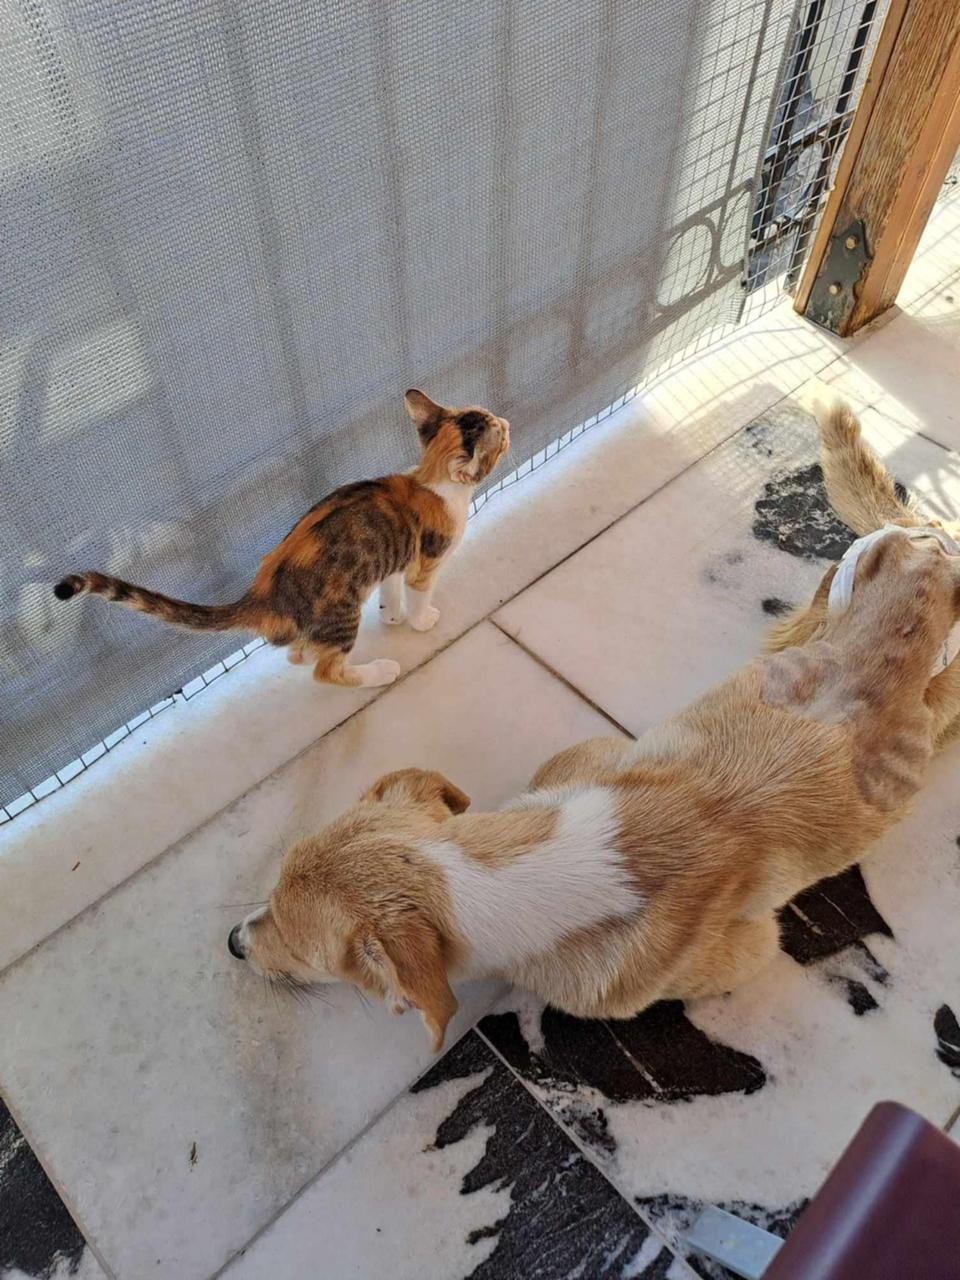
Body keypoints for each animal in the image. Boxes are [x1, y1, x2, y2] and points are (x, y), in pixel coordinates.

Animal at [54, 390, 509, 688]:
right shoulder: (427, 559)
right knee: (325, 672)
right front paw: (419, 620)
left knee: (295, 655)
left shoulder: (395, 555)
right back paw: (377, 672)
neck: (430, 480)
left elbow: (391, 585)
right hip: (340, 613)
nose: (506, 422)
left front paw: (391, 614)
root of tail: (261, 596)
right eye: (500, 438)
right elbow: (418, 592)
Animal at [229, 401, 960, 1051]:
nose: (233, 943)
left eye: (299, 943)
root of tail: (933, 538)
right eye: (271, 890)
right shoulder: (588, 757)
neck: (497, 877)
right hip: (825, 599)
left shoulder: (750, 948)